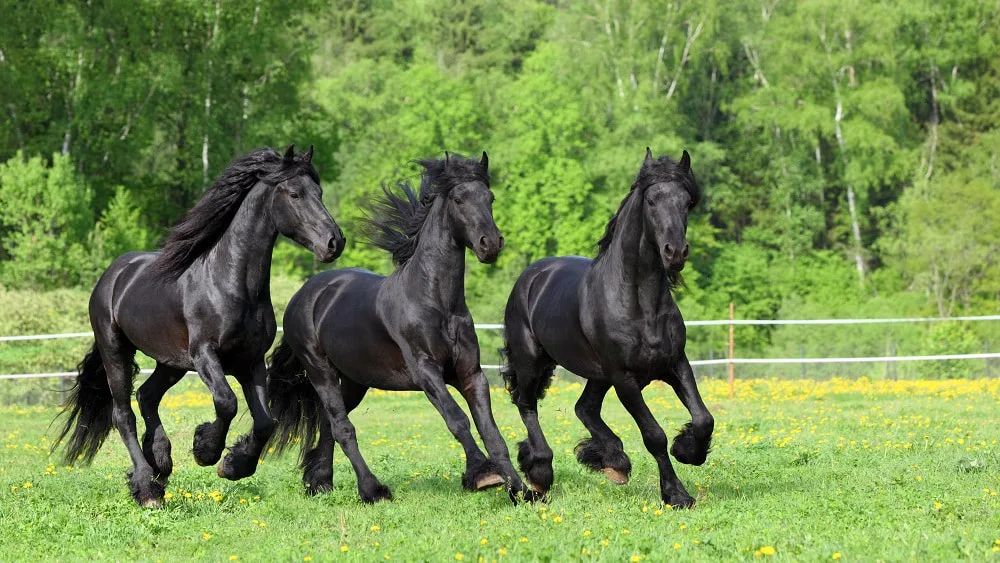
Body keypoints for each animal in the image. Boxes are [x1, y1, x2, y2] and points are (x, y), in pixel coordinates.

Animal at [54, 144, 344, 506]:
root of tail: (112, 275)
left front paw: (234, 465)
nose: (334, 243)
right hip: (116, 350)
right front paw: (205, 450)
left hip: (171, 362)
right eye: (294, 193)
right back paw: (147, 486)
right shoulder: (205, 355)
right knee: (123, 414)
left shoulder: (250, 361)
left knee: (147, 396)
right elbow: (226, 402)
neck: (230, 283)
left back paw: (160, 461)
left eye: (319, 192)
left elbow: (265, 421)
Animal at [266, 153, 532, 502]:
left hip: (354, 380)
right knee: (342, 427)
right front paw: (483, 474)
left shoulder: (470, 374)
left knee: (329, 423)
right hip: (320, 370)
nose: (490, 244)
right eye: (459, 199)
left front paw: (521, 490)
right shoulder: (426, 372)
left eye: (490, 198)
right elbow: (458, 420)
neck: (436, 303)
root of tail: (304, 294)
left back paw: (320, 482)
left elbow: (491, 431)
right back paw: (372, 490)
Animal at [500, 148, 712, 508]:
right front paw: (676, 494)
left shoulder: (675, 364)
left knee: (584, 408)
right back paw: (540, 474)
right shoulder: (625, 379)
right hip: (532, 362)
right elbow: (654, 435)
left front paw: (688, 451)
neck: (640, 304)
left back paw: (614, 463)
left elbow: (703, 418)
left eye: (687, 202)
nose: (675, 252)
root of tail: (531, 276)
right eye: (651, 200)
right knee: (526, 404)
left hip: (597, 374)